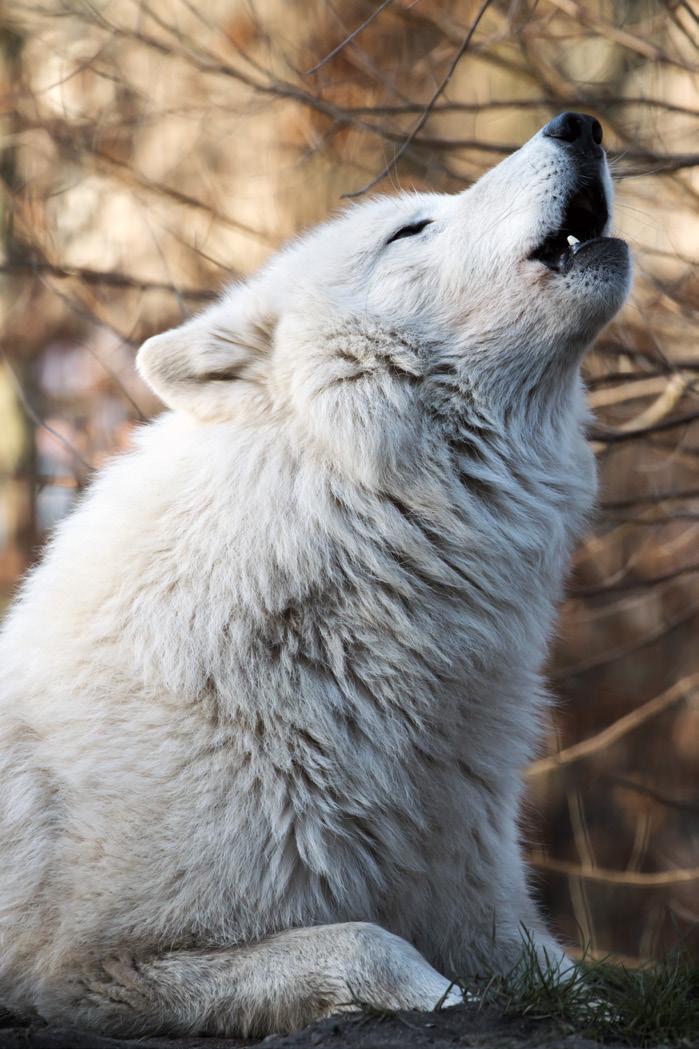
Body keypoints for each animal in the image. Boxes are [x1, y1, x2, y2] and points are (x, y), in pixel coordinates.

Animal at [0, 116, 629, 1040]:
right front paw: (443, 998)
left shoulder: (477, 900)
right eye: (410, 229)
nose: (577, 124)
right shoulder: (100, 969)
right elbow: (366, 943)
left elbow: (575, 984)